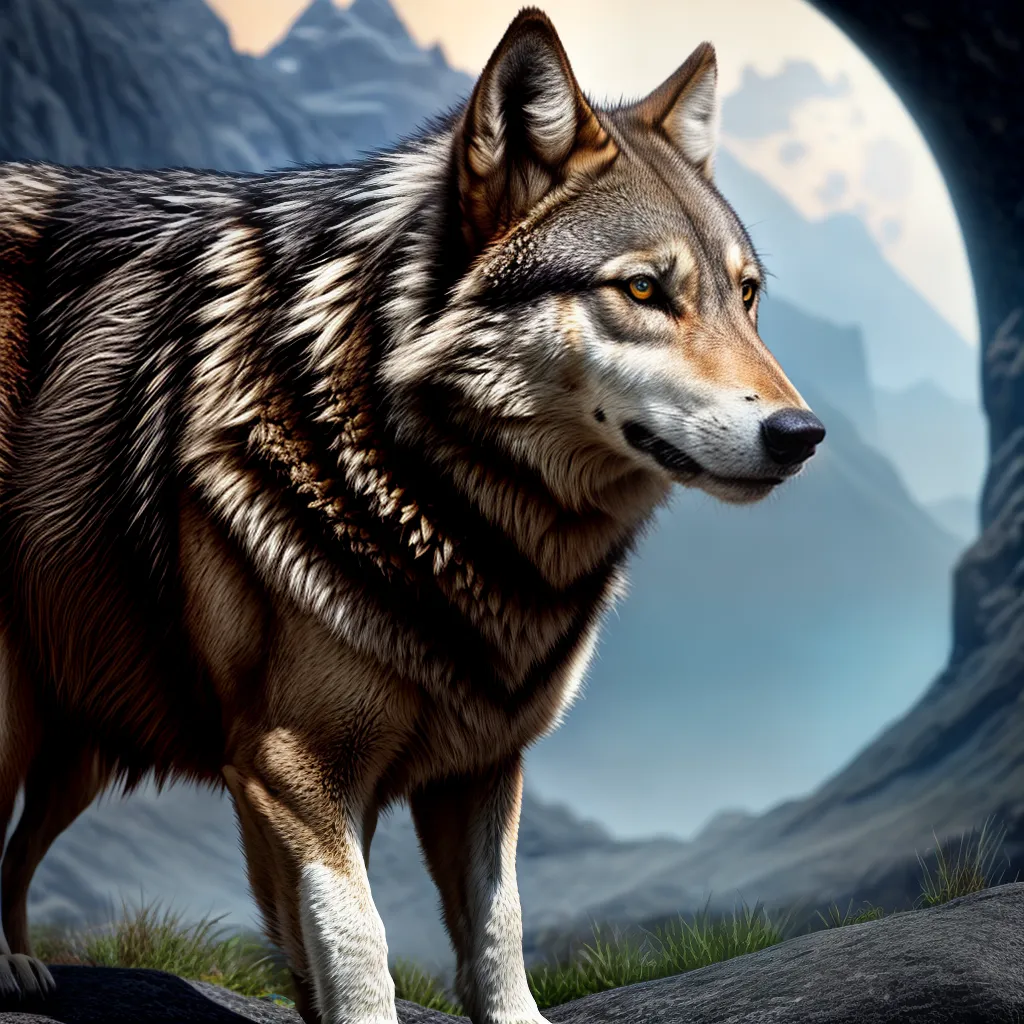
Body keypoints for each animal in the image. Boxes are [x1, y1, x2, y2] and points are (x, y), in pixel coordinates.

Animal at [0, 7, 824, 1023]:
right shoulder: (298, 770)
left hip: (76, 733)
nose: (803, 434)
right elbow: (361, 946)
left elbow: (498, 930)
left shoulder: (483, 767)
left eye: (746, 295)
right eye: (642, 290)